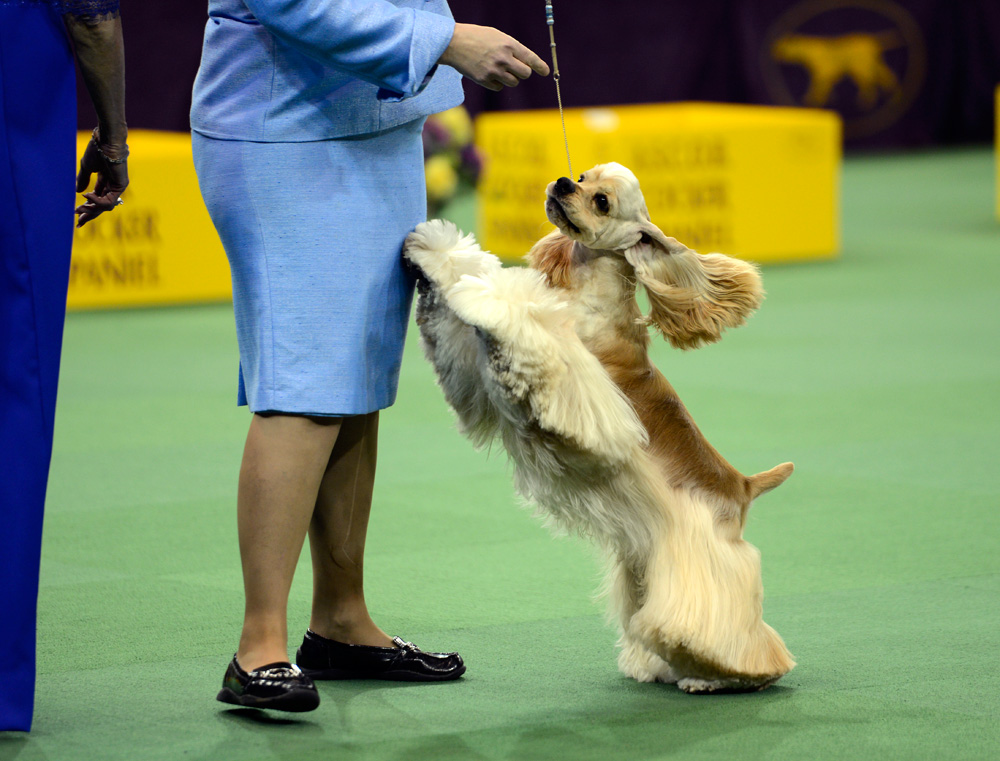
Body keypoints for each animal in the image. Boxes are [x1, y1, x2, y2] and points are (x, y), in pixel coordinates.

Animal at [402, 163, 792, 692]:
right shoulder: (486, 382)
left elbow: (517, 315)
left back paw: (723, 676)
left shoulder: (573, 380)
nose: (564, 183)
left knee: (730, 624)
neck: (585, 295)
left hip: (705, 558)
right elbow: (464, 339)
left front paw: (485, 292)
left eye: (602, 201)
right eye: (585, 175)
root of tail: (742, 485)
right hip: (644, 558)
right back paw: (662, 666)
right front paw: (435, 255)